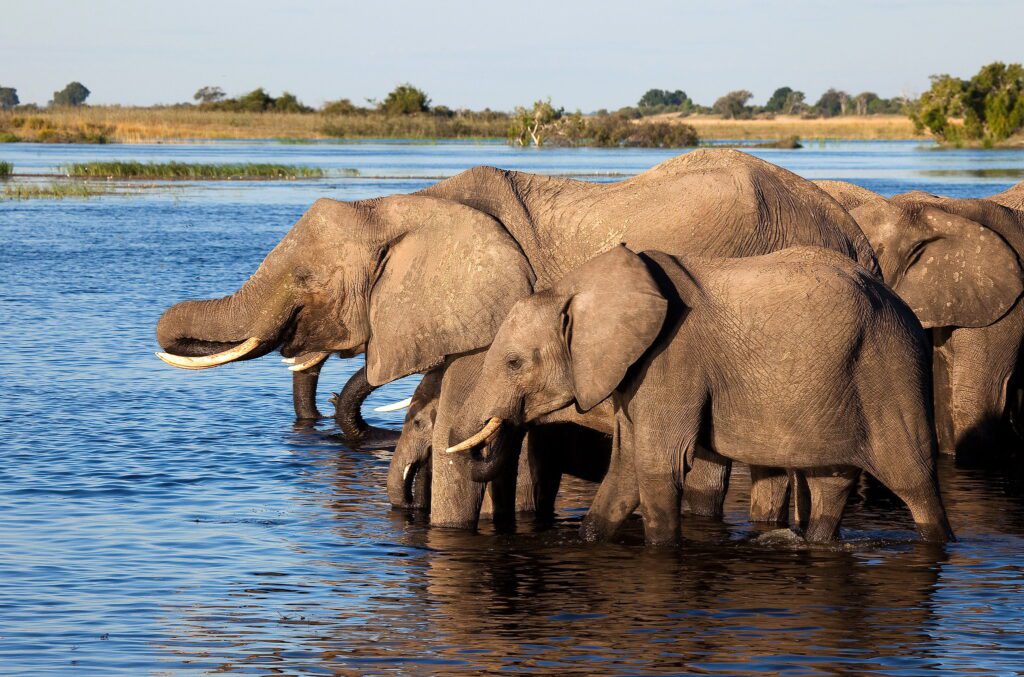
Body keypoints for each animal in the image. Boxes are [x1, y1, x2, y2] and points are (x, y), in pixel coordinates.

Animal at [448, 242, 950, 544]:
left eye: (514, 363)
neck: (579, 287)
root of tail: (906, 309)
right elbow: (625, 467)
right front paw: (587, 539)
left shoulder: (670, 360)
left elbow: (658, 465)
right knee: (832, 481)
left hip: (891, 369)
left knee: (914, 481)